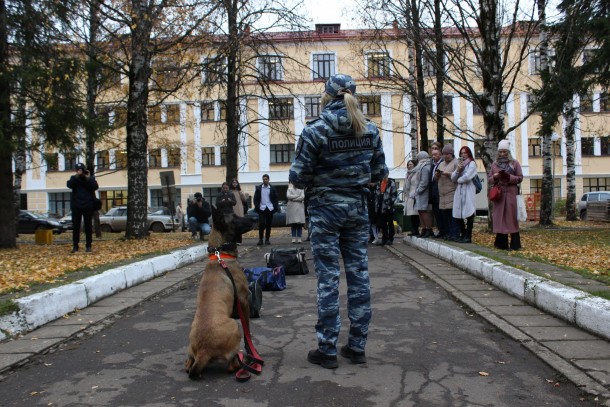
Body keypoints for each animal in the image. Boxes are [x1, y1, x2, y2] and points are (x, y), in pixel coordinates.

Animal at [184, 209, 253, 380]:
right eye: (234, 218)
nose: (254, 218)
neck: (220, 255)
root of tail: (203, 352)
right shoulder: (243, 301)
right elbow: (248, 331)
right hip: (235, 325)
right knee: (231, 365)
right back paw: (241, 363)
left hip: (190, 347)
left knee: (188, 364)